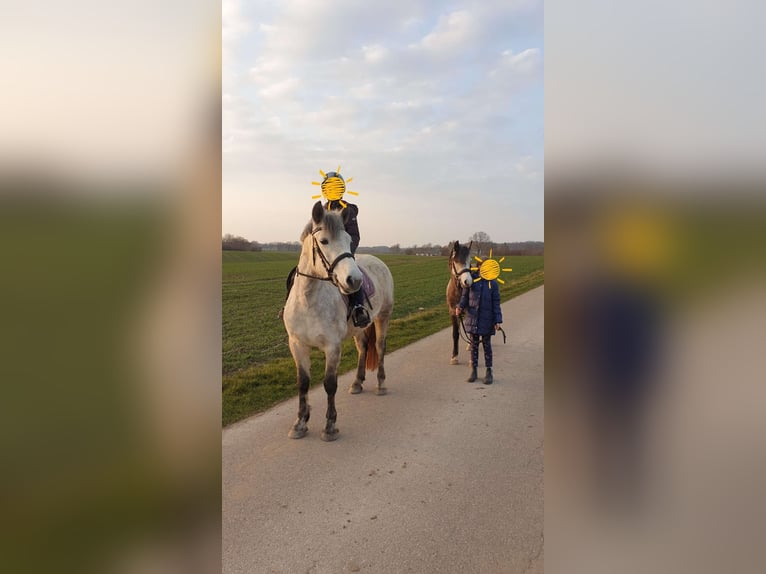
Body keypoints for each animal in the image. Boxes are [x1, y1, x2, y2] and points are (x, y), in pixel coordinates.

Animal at [282, 205, 396, 444]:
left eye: (348, 239)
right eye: (324, 241)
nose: (355, 281)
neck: (308, 299)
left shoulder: (332, 347)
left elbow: (329, 384)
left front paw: (330, 426)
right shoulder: (297, 345)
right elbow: (303, 382)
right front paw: (300, 423)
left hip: (383, 317)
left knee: (380, 348)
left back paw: (380, 384)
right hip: (359, 328)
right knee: (363, 348)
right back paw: (357, 383)